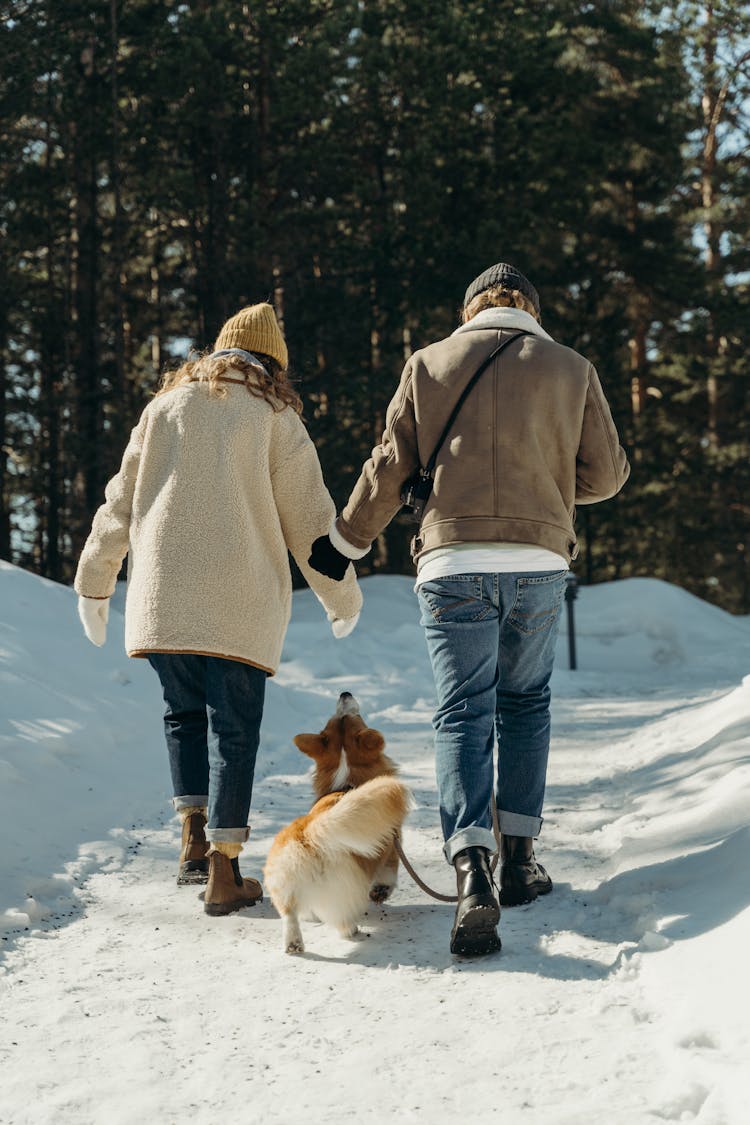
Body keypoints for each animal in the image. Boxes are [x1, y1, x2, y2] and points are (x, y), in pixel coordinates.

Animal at [265, 688, 411, 954]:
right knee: (341, 920)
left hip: (282, 882)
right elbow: (389, 874)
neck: (346, 779)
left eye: (333, 719)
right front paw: (381, 892)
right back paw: (352, 930)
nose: (345, 692)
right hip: (345, 887)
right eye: (358, 716)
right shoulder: (392, 846)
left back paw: (294, 943)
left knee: (289, 914)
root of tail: (311, 835)